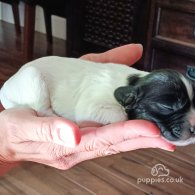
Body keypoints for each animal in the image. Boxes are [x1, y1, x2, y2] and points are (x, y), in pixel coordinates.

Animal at [0, 55, 195, 145]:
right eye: (167, 107)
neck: (133, 82)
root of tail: (6, 87)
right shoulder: (91, 106)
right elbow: (120, 115)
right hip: (33, 78)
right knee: (43, 110)